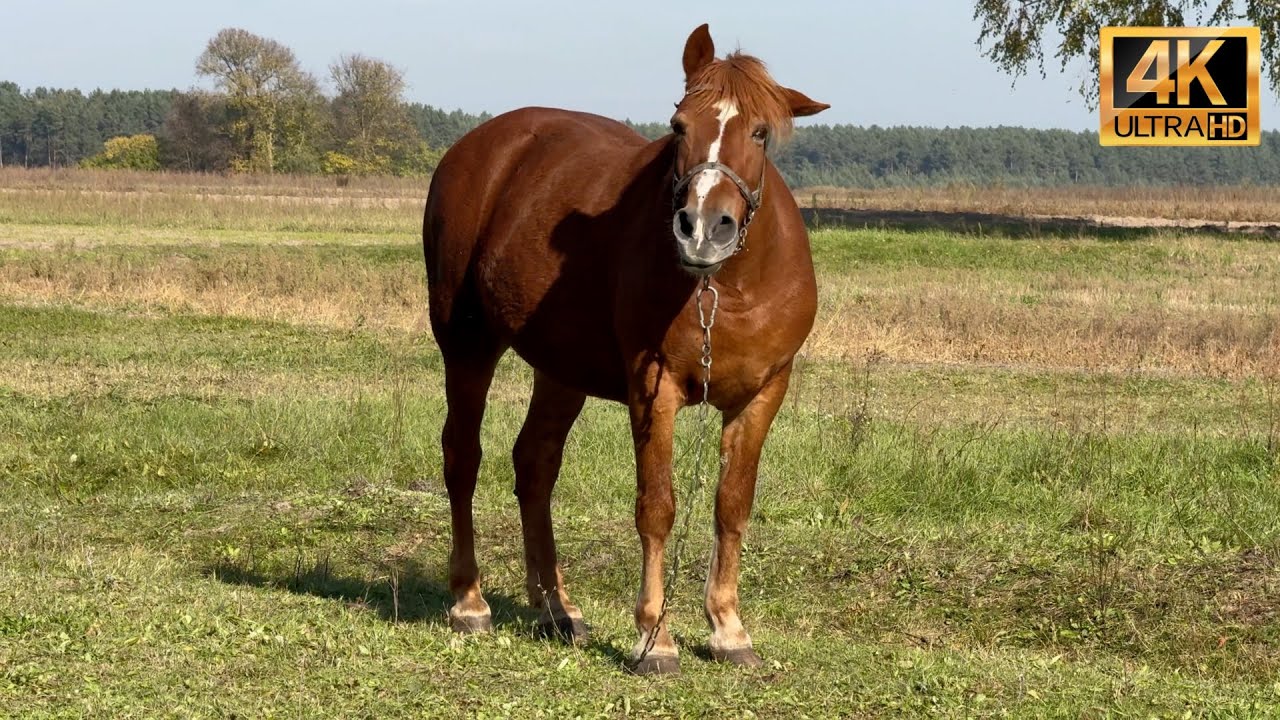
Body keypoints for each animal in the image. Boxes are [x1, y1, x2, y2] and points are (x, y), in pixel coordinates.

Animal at [422, 23, 828, 675]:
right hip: (467, 344)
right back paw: (469, 601)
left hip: (561, 369)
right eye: (679, 125)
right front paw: (654, 637)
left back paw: (557, 609)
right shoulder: (652, 386)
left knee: (535, 465)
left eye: (760, 132)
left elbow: (732, 506)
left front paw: (728, 629)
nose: (702, 228)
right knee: (463, 457)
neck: (727, 287)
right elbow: (657, 507)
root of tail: (479, 150)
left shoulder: (763, 394)